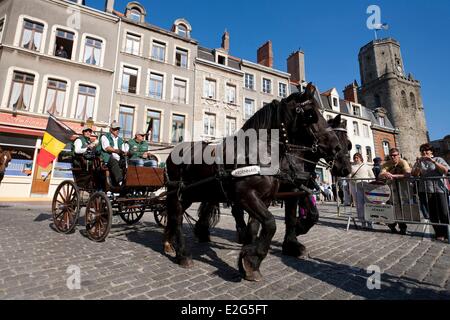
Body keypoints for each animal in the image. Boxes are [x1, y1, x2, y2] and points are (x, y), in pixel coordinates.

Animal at [163, 84, 342, 282]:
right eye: (311, 114)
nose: (336, 147)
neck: (257, 153)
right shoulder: (246, 196)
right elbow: (271, 223)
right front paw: (252, 259)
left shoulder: (264, 198)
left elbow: (257, 226)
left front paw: (250, 259)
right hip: (177, 193)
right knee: (176, 217)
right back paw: (183, 254)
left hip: (190, 194)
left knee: (175, 215)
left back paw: (171, 243)